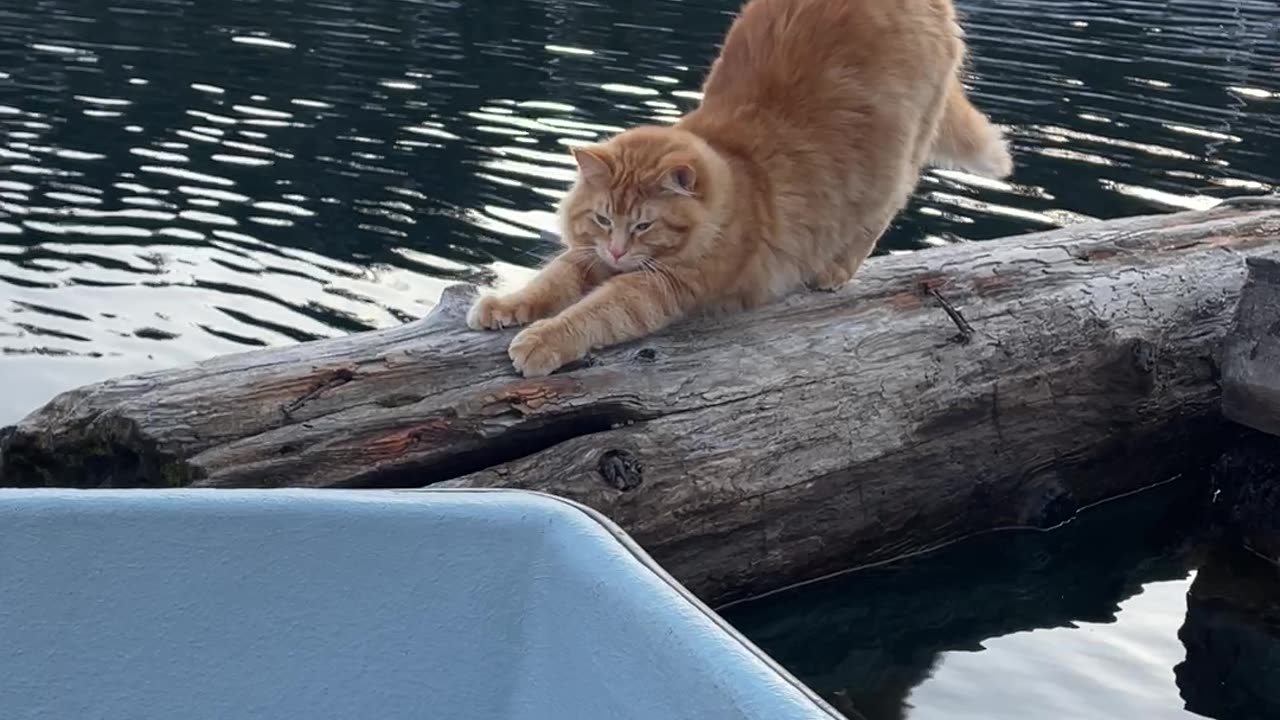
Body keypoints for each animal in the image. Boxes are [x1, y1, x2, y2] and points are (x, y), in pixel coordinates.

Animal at [468, 0, 1008, 376]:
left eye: (643, 226)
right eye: (603, 219)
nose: (619, 251)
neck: (738, 175)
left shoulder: (660, 286)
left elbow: (597, 311)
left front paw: (541, 340)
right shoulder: (591, 255)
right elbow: (550, 279)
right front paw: (503, 306)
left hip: (899, 157)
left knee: (877, 216)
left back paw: (832, 271)